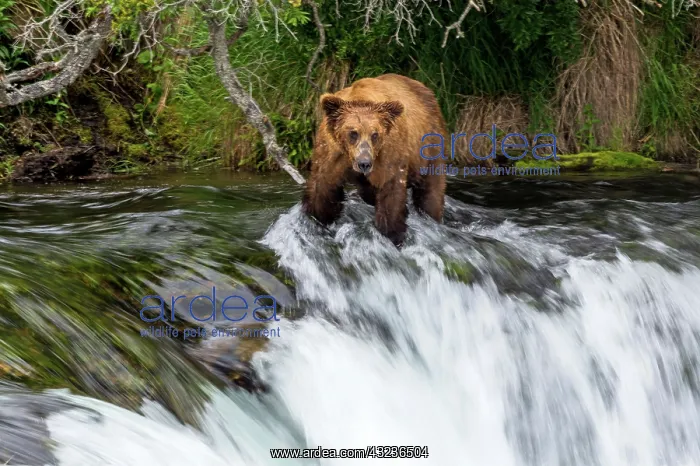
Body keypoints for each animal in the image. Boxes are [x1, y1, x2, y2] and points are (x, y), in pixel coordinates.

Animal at [301, 73, 448, 247]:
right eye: (353, 133)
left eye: (375, 134)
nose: (364, 163)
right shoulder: (331, 153)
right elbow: (322, 190)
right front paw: (318, 219)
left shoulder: (388, 155)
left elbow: (391, 195)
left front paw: (391, 233)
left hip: (429, 145)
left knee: (431, 191)